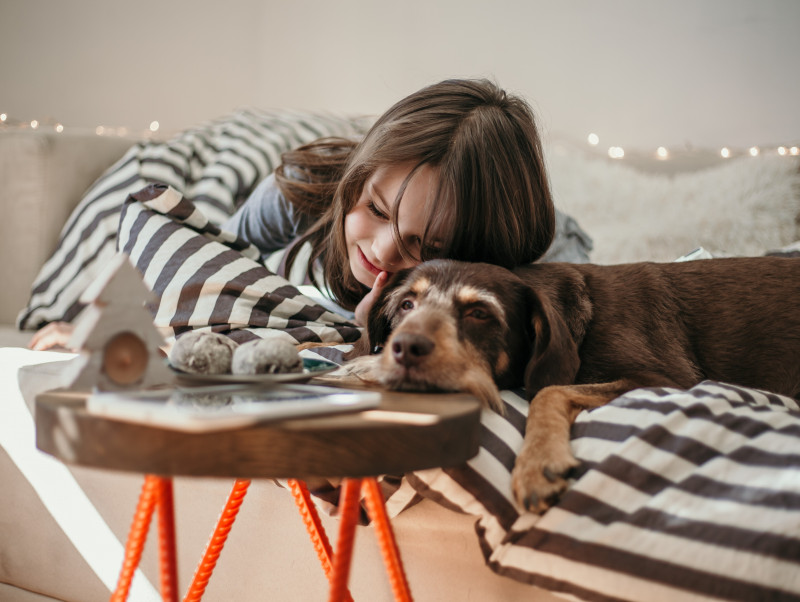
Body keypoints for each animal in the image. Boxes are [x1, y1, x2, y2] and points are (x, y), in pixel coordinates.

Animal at [346, 255, 800, 508]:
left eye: (479, 313)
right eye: (406, 305)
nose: (405, 348)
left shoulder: (663, 377)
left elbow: (548, 389)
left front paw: (538, 463)